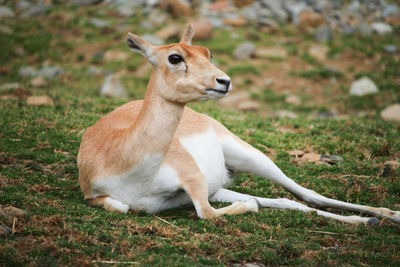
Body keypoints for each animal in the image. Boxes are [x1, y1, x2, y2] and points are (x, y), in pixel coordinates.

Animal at [76, 25, 398, 226]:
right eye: (175, 57)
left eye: (207, 52)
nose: (224, 81)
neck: (124, 160)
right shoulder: (96, 195)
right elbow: (123, 206)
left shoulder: (195, 180)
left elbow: (208, 213)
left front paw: (250, 207)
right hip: (221, 186)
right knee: (288, 200)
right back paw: (370, 220)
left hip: (247, 154)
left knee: (307, 194)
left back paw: (384, 215)